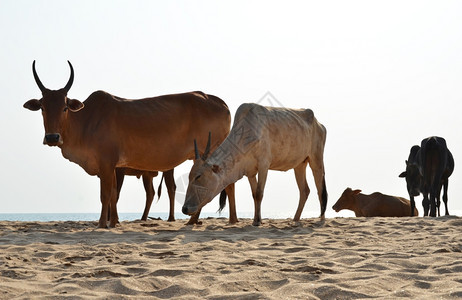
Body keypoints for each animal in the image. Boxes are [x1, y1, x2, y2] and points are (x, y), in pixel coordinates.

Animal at [23, 60, 236, 227]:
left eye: (65, 107)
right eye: (42, 107)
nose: (52, 137)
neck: (86, 120)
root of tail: (221, 103)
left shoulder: (107, 163)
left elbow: (106, 194)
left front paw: (102, 224)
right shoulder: (113, 167)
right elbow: (113, 194)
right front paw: (114, 222)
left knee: (226, 183)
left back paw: (221, 220)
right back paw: (207, 220)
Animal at [181, 102, 328, 225]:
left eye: (198, 176)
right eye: (189, 176)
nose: (184, 209)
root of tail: (319, 124)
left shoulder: (264, 166)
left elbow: (259, 193)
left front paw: (257, 222)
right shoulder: (250, 172)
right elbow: (254, 194)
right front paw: (257, 219)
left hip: (316, 160)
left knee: (320, 189)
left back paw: (321, 219)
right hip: (299, 165)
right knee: (304, 191)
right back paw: (295, 219)